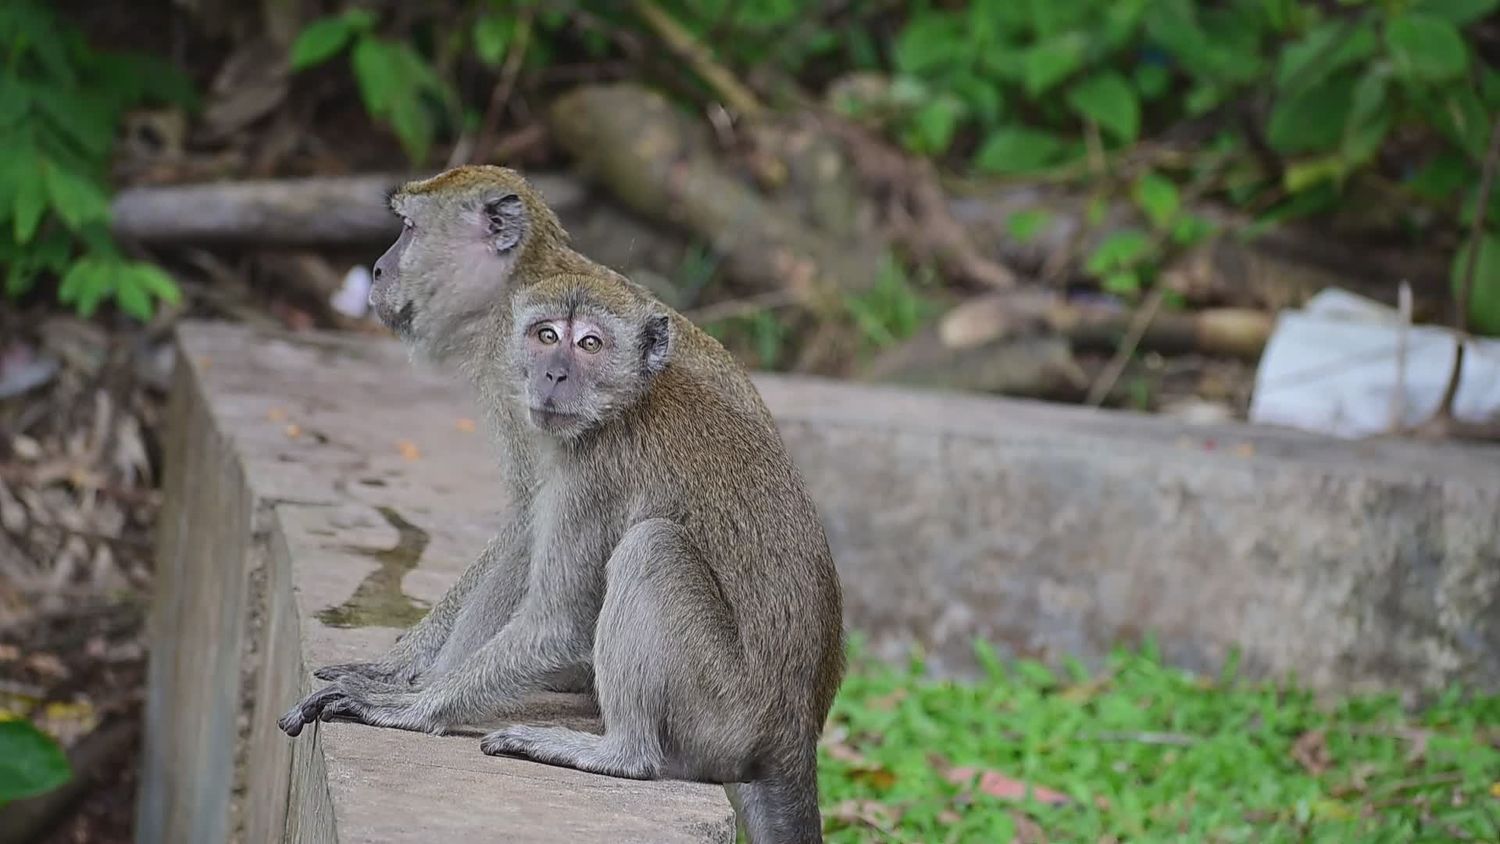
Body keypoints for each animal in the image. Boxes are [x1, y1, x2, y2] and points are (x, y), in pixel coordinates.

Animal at [276, 166, 845, 843]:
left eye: (408, 229)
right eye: (546, 336)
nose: (382, 268)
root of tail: (794, 737)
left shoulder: (577, 460)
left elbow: (546, 590)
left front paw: (412, 701)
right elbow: (524, 529)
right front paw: (400, 670)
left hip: (722, 714)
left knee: (651, 548)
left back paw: (618, 752)